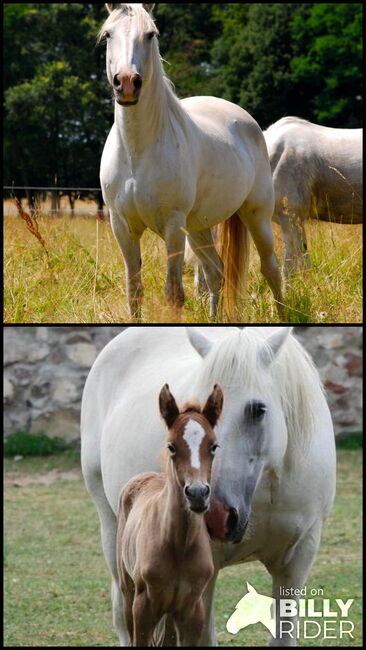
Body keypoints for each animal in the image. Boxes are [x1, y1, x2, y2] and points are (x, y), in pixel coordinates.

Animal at [98, 4, 284, 318]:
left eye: (150, 34)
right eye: (108, 34)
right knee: (215, 273)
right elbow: (134, 292)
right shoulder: (122, 226)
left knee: (270, 270)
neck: (137, 153)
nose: (126, 83)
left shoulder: (173, 226)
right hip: (199, 227)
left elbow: (174, 293)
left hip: (256, 215)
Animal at [116, 382, 223, 644]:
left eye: (214, 446)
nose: (197, 494)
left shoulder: (192, 611)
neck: (179, 544)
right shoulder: (143, 607)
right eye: (172, 446)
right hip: (128, 592)